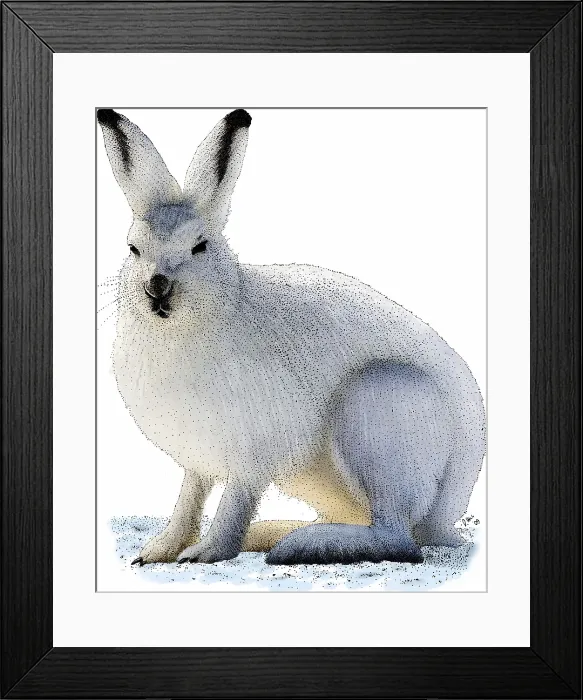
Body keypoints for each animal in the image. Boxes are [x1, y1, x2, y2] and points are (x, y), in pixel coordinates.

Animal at [97, 108, 486, 566]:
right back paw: (278, 534)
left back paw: (301, 545)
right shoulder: (198, 459)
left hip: (379, 408)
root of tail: (446, 514)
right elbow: (188, 499)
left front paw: (206, 552)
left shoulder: (252, 453)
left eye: (200, 246)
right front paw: (158, 550)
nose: (157, 286)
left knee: (398, 537)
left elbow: (234, 503)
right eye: (133, 248)